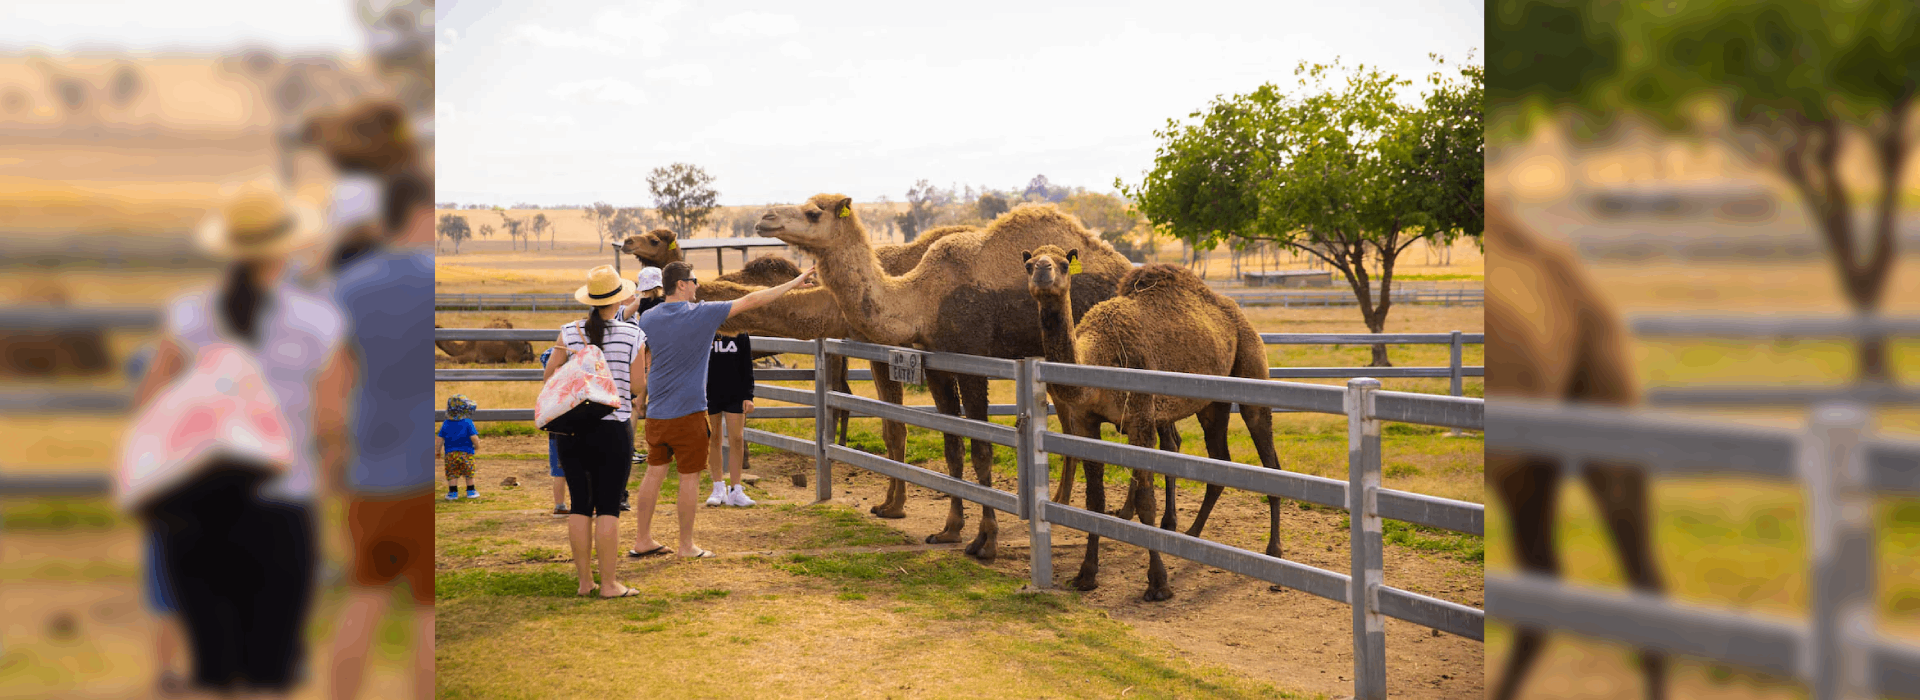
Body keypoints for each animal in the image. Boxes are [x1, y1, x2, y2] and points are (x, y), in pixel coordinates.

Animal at [752, 193, 1136, 560]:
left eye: (813, 212)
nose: (764, 218)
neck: (924, 301)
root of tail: (1125, 269)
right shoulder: (935, 364)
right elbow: (952, 446)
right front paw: (950, 529)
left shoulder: (973, 364)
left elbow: (981, 449)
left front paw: (986, 542)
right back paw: (1071, 503)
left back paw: (1123, 513)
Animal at [1029, 247, 1282, 598]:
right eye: (1028, 264)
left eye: (1065, 264)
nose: (1042, 270)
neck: (1098, 357)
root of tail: (1236, 312)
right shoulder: (1086, 422)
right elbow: (1094, 501)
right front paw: (1086, 575)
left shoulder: (1140, 417)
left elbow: (1146, 501)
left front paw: (1158, 584)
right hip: (1212, 402)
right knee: (1219, 460)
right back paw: (1191, 534)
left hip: (1251, 367)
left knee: (1270, 460)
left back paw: (1274, 552)